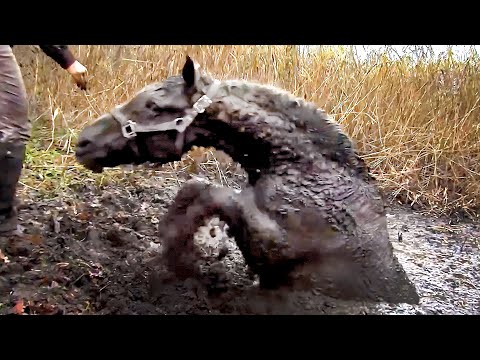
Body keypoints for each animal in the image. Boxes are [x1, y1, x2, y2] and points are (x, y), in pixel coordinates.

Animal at [75, 56, 420, 304]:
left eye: (155, 106)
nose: (83, 142)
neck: (307, 171)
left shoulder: (273, 246)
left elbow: (214, 193)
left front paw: (180, 255)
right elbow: (197, 188)